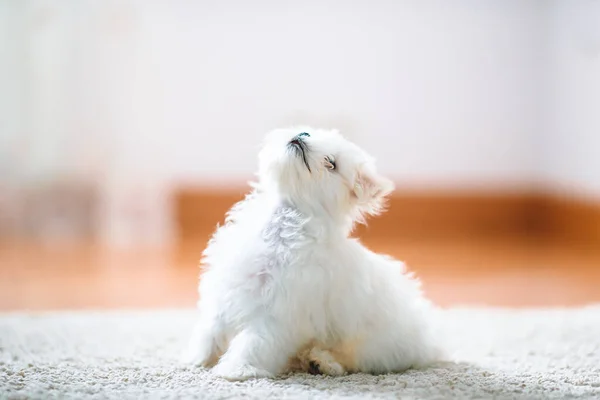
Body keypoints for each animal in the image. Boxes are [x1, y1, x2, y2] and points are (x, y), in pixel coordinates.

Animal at [185, 127, 442, 382]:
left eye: (331, 164)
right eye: (308, 133)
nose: (301, 137)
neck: (281, 225)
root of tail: (430, 345)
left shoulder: (277, 314)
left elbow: (253, 342)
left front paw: (236, 369)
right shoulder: (227, 291)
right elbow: (211, 330)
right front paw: (196, 358)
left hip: (372, 347)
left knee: (350, 360)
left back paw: (322, 362)